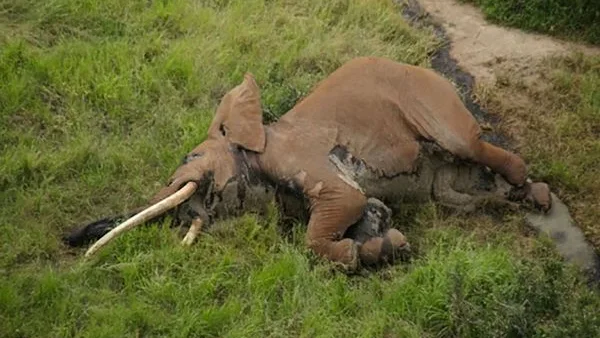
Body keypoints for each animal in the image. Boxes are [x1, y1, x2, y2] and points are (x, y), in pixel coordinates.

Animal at [67, 56, 552, 270]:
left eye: (191, 158)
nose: (71, 240)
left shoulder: (298, 157)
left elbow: (341, 204)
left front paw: (360, 254)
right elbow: (367, 210)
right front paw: (385, 244)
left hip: (432, 102)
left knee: (468, 143)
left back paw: (536, 195)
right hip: (444, 181)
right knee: (454, 193)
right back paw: (517, 199)